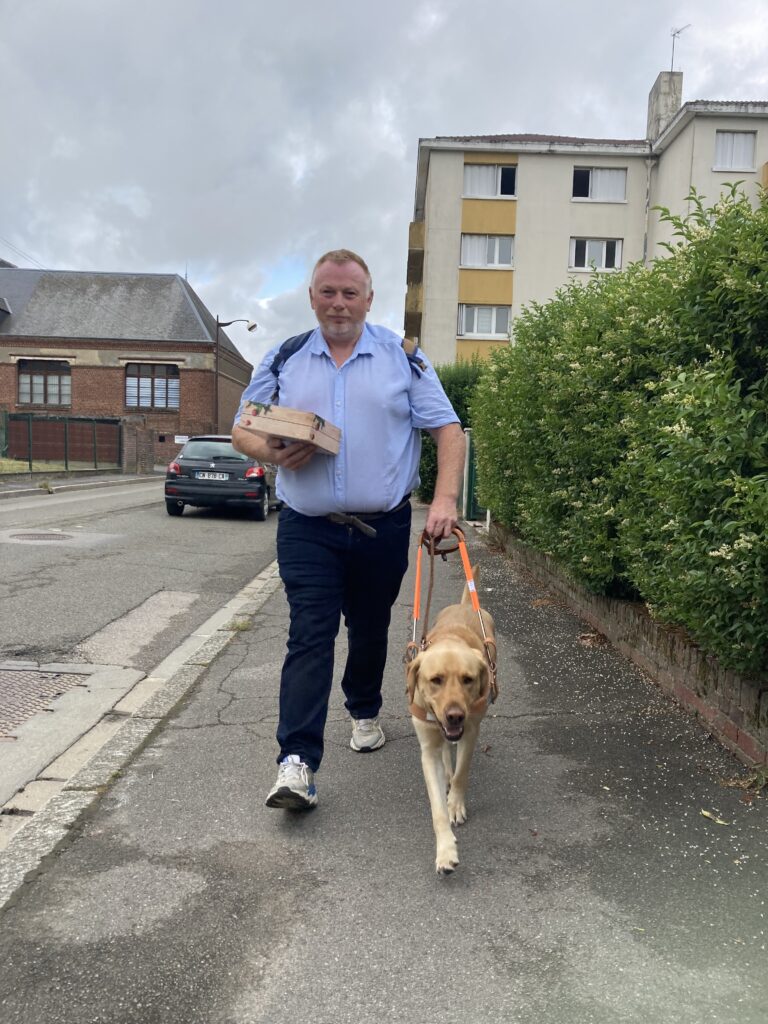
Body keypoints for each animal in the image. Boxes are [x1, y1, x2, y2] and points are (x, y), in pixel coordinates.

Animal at [405, 573, 495, 876]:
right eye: (436, 680)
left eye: (468, 679)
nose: (455, 715)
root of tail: (464, 604)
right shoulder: (428, 750)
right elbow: (437, 811)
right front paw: (445, 851)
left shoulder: (470, 732)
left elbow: (462, 773)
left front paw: (455, 804)